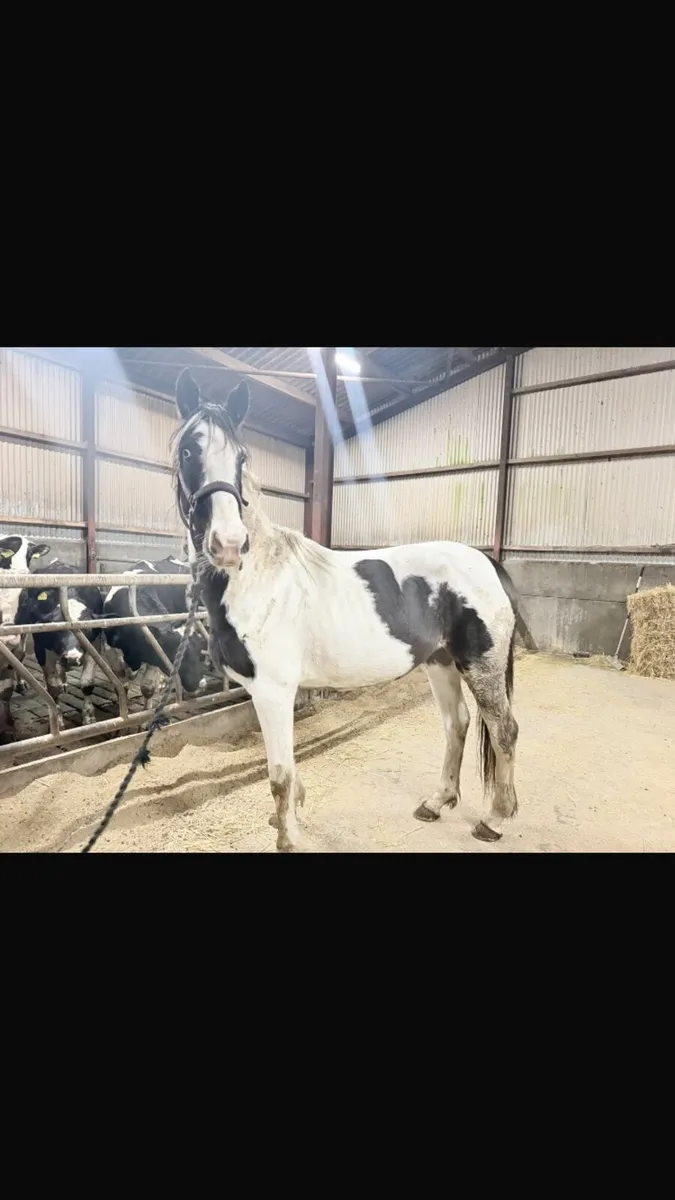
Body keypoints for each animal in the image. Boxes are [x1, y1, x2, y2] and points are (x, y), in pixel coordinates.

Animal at [173, 369, 519, 852]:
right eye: (188, 450)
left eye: (241, 458)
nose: (227, 544)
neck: (257, 577)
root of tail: (486, 562)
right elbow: (287, 764)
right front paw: (288, 816)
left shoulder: (273, 691)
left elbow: (278, 773)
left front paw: (289, 837)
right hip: (440, 662)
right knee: (457, 723)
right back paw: (437, 802)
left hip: (480, 665)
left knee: (503, 730)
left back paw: (494, 819)